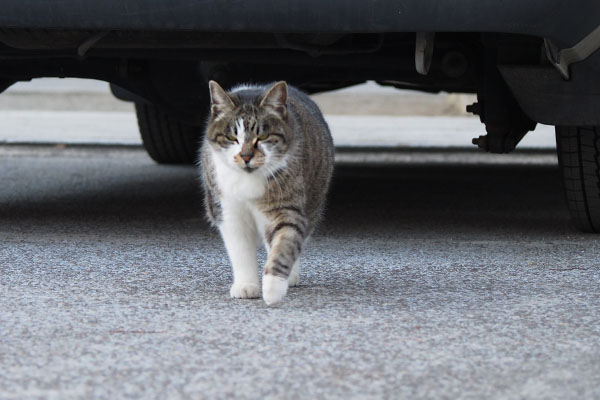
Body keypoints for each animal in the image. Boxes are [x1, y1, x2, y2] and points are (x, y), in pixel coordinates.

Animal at [200, 81, 332, 306]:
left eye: (262, 137)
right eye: (232, 137)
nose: (245, 156)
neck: (248, 180)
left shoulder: (285, 208)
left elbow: (284, 245)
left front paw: (273, 288)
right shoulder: (228, 212)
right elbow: (240, 251)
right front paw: (246, 285)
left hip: (313, 199)